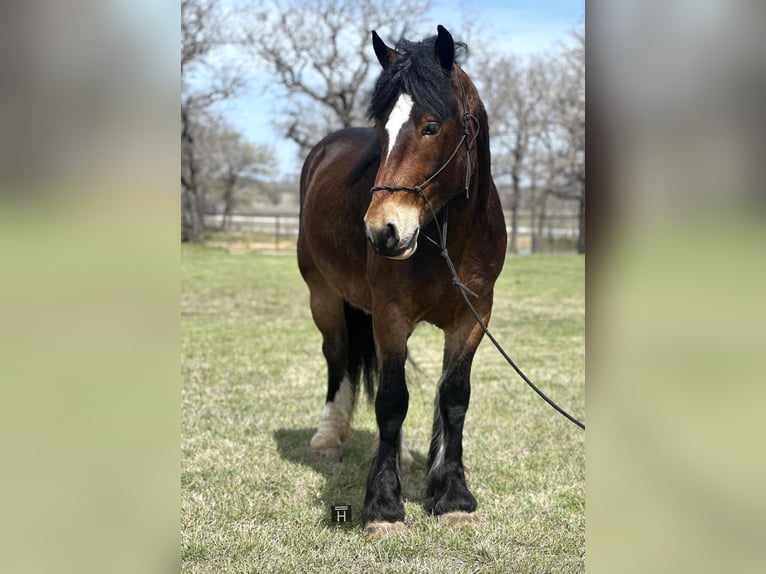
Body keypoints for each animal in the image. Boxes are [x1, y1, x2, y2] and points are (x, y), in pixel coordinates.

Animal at [296, 25, 508, 540]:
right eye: (381, 130)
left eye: (431, 126)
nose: (382, 230)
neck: (450, 238)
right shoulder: (390, 315)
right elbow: (392, 401)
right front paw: (384, 507)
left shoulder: (473, 318)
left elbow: (453, 399)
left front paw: (452, 498)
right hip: (323, 297)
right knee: (336, 358)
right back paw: (329, 436)